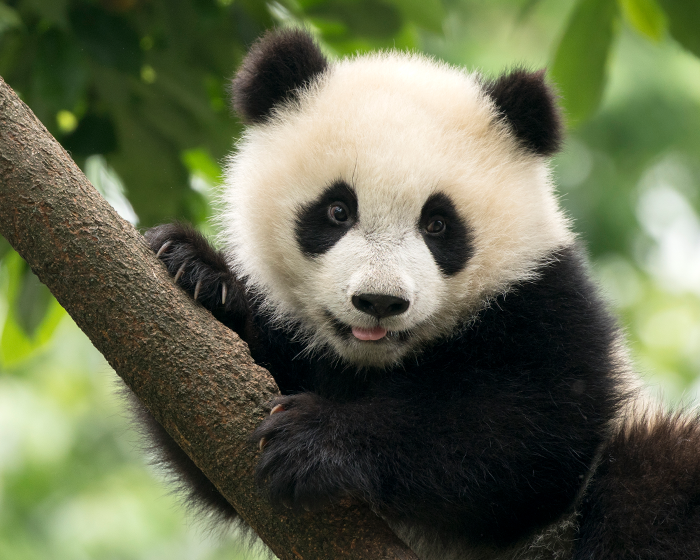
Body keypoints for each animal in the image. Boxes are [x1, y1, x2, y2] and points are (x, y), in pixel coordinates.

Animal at [138, 28, 700, 560]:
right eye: (337, 210)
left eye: (438, 224)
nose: (379, 302)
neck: (376, 362)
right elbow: (208, 440)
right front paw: (197, 271)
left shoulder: (545, 300)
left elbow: (529, 435)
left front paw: (316, 441)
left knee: (655, 479)